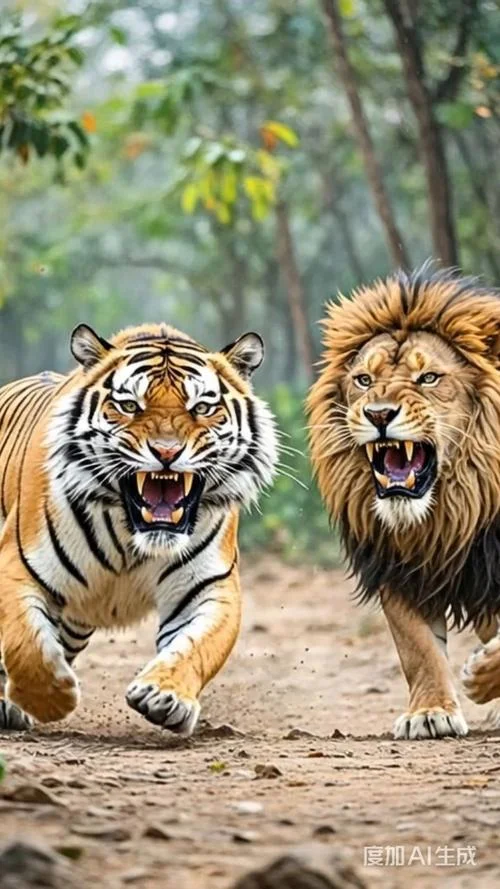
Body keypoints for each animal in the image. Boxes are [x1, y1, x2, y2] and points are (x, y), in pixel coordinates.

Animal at [0, 322, 277, 735]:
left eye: (202, 407)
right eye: (130, 405)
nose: (167, 452)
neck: (132, 537)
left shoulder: (208, 586)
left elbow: (198, 646)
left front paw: (166, 696)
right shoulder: (17, 566)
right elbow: (26, 644)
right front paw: (49, 699)